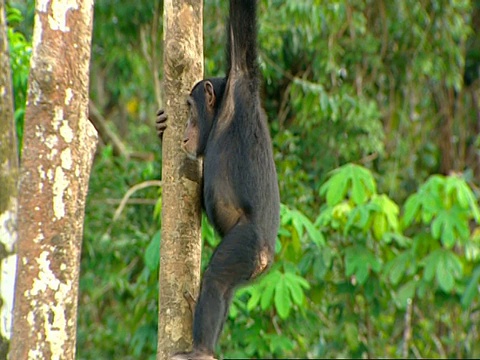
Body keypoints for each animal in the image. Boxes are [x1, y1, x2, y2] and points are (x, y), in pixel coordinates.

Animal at [156, 1, 280, 358]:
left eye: (190, 108)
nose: (184, 127)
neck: (223, 109)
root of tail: (267, 258)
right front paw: (160, 127)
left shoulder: (242, 79)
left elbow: (241, 31)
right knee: (225, 293)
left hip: (246, 246)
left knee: (216, 281)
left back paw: (199, 349)